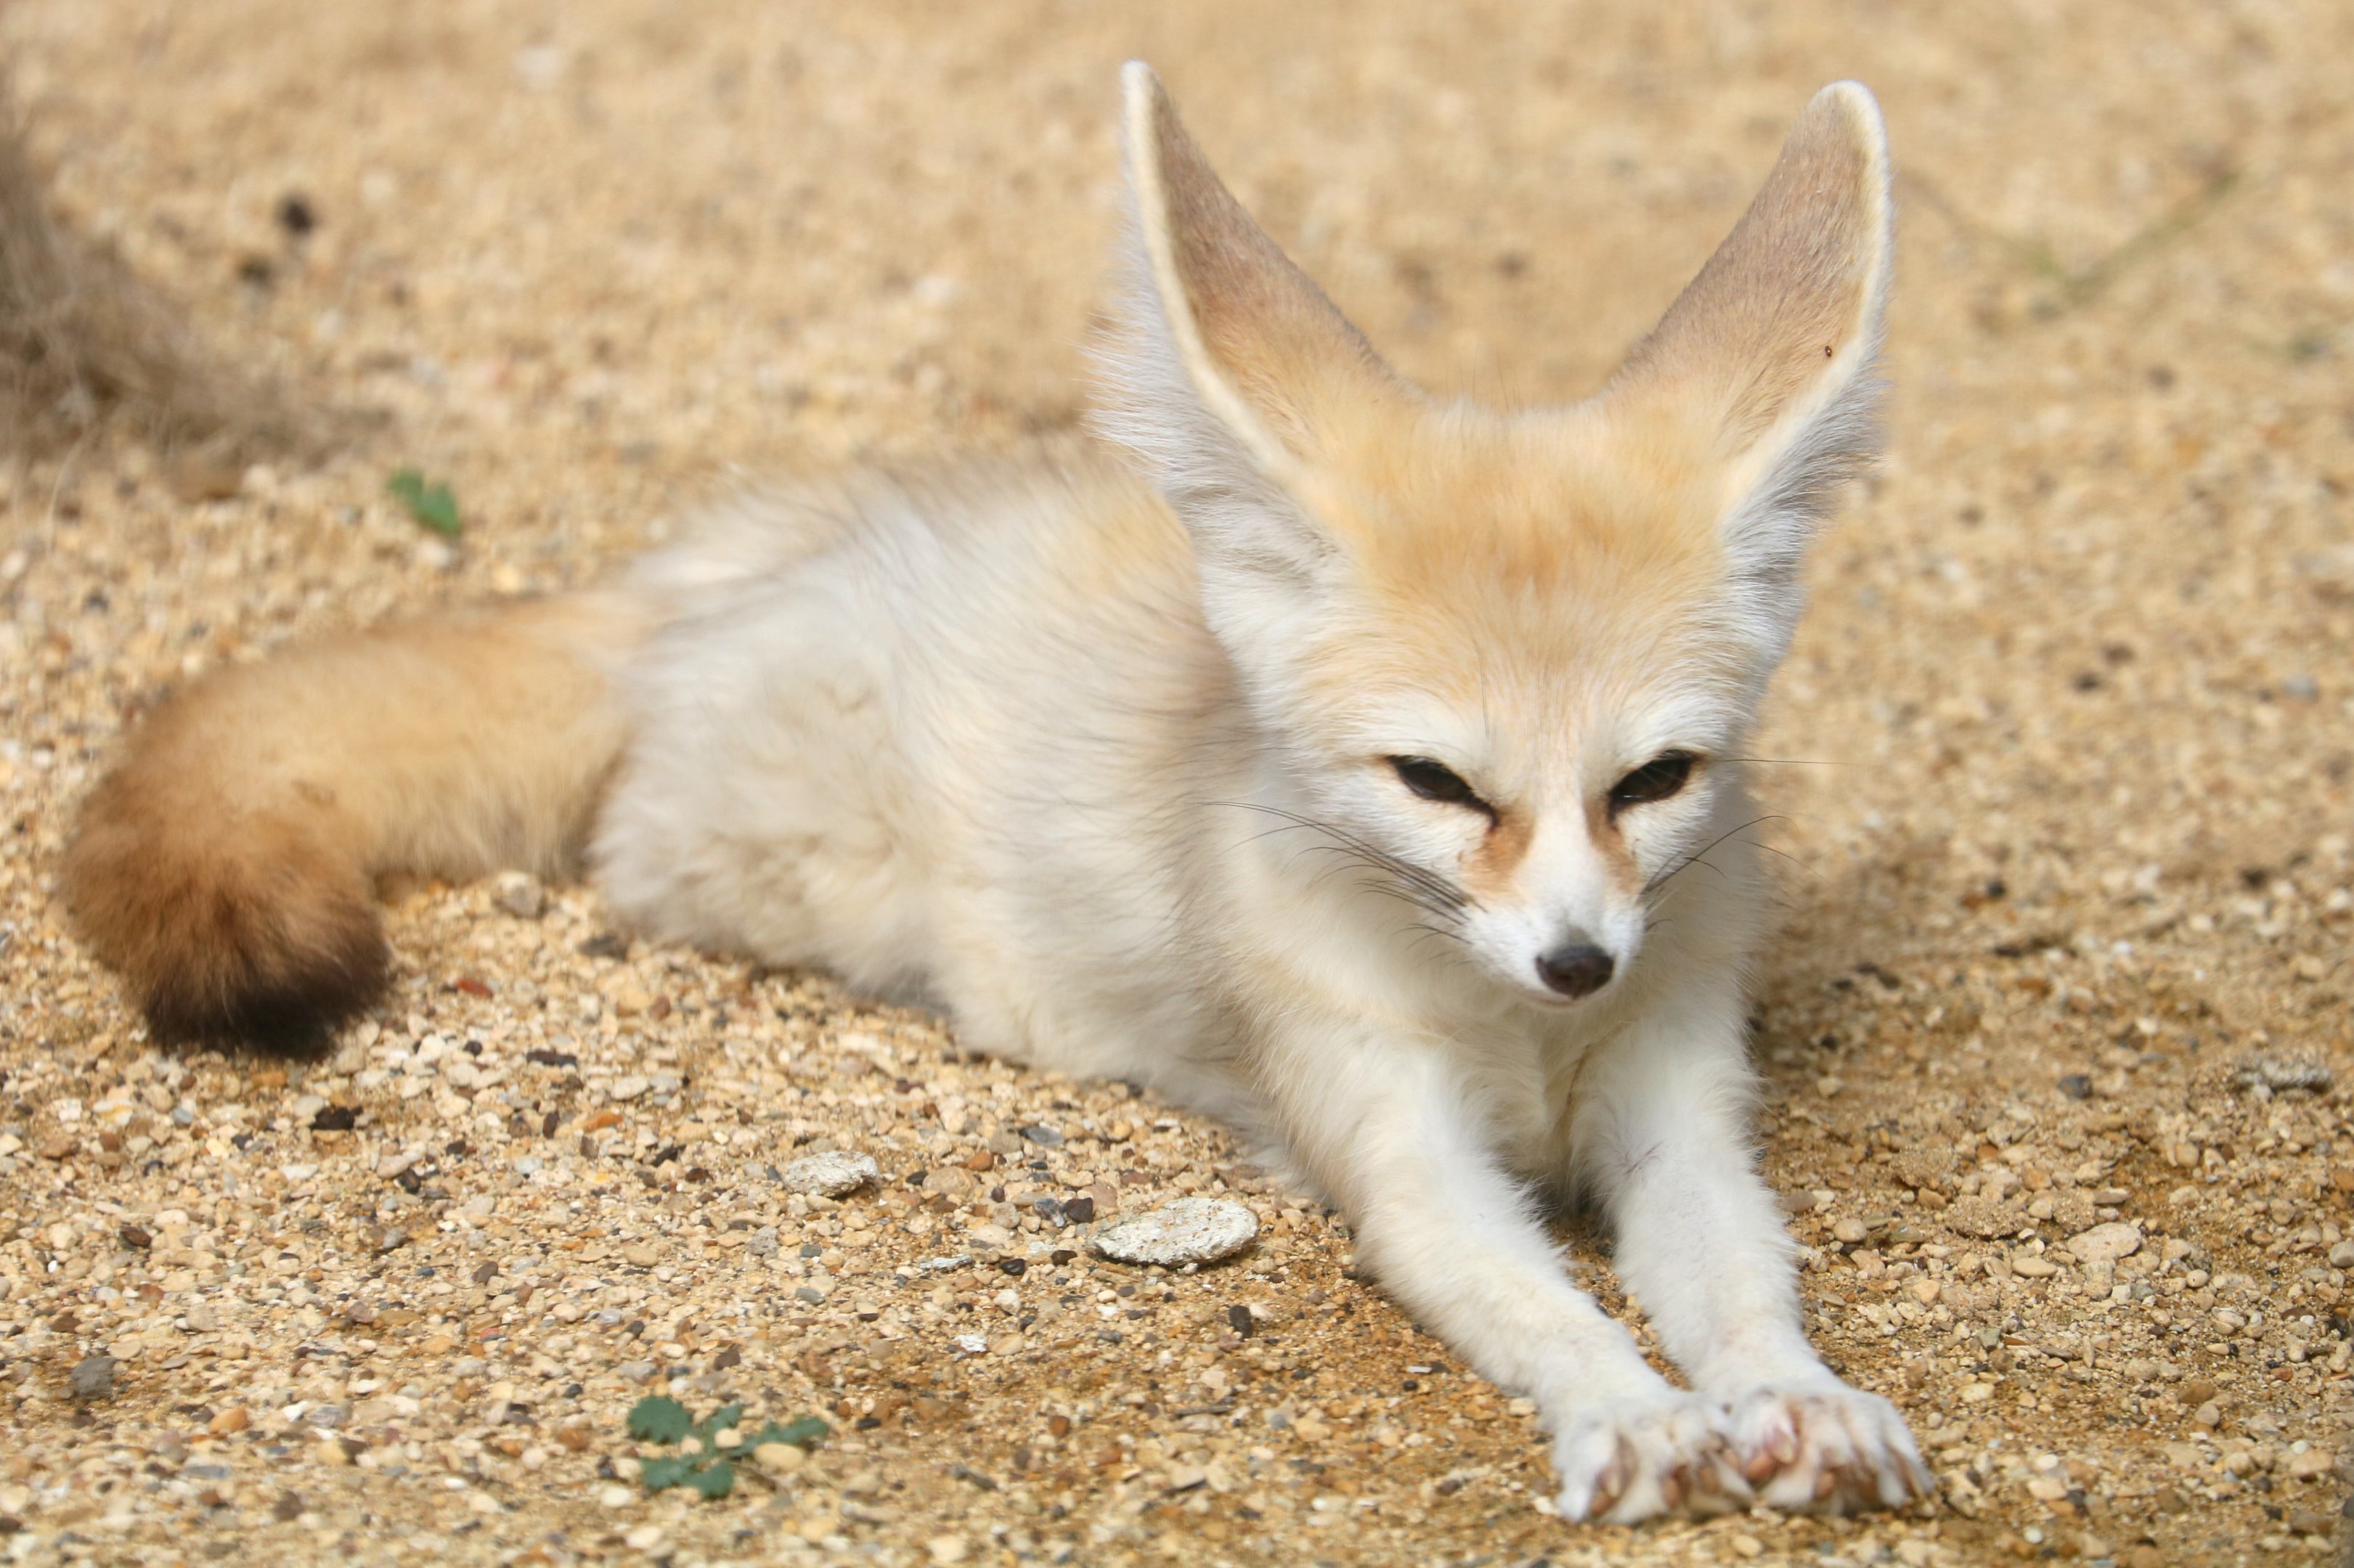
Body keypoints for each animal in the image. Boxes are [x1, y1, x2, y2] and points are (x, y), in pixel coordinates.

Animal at [60, 64, 1930, 1521]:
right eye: (1436, 783)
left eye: (1653, 779)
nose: (1576, 964)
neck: (1523, 1047)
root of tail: (694, 579)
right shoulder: (1395, 1147)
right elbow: (1539, 1303)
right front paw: (1630, 1408)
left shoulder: (1678, 1101)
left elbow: (1741, 1276)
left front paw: (1793, 1396)